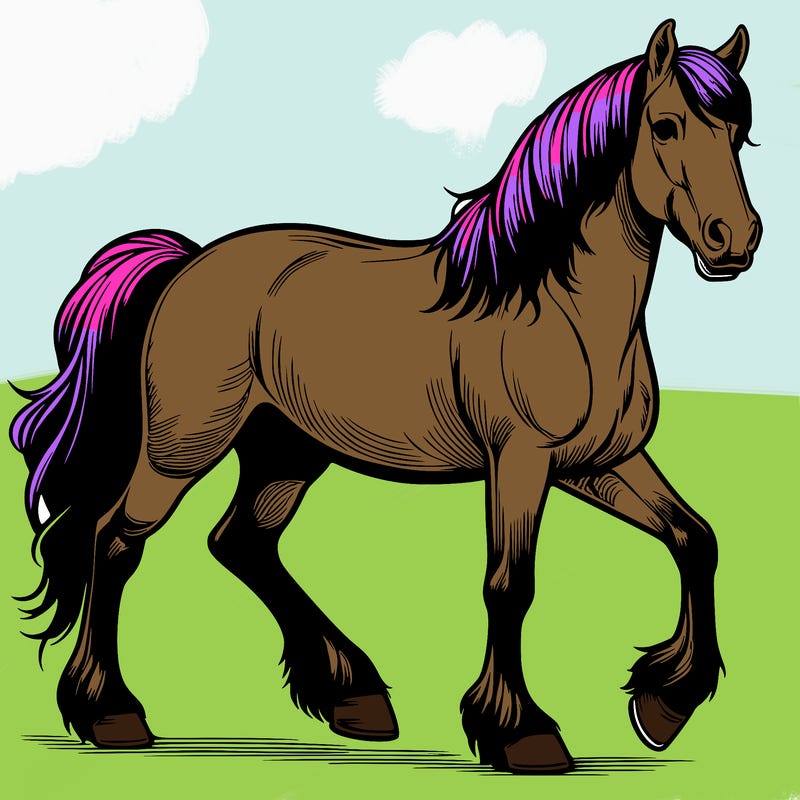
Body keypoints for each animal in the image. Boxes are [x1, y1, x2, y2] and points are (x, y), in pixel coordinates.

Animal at [10, 20, 761, 773]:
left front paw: (663, 707)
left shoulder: (598, 463)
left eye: (739, 132)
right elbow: (509, 584)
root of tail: (188, 263)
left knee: (241, 542)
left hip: (286, 452)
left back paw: (354, 696)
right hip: (181, 449)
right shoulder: (520, 461)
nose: (736, 239)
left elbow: (696, 538)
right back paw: (111, 714)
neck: (556, 305)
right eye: (665, 126)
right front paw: (522, 733)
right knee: (115, 541)